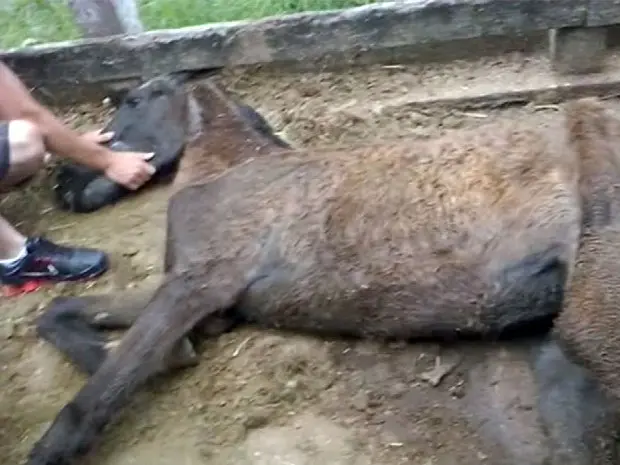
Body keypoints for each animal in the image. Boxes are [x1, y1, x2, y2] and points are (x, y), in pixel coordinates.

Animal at [25, 74, 620, 462]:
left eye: (130, 103)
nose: (61, 184)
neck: (227, 168)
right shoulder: (204, 298)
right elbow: (59, 314)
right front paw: (167, 355)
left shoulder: (197, 285)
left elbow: (102, 388)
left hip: (590, 314)